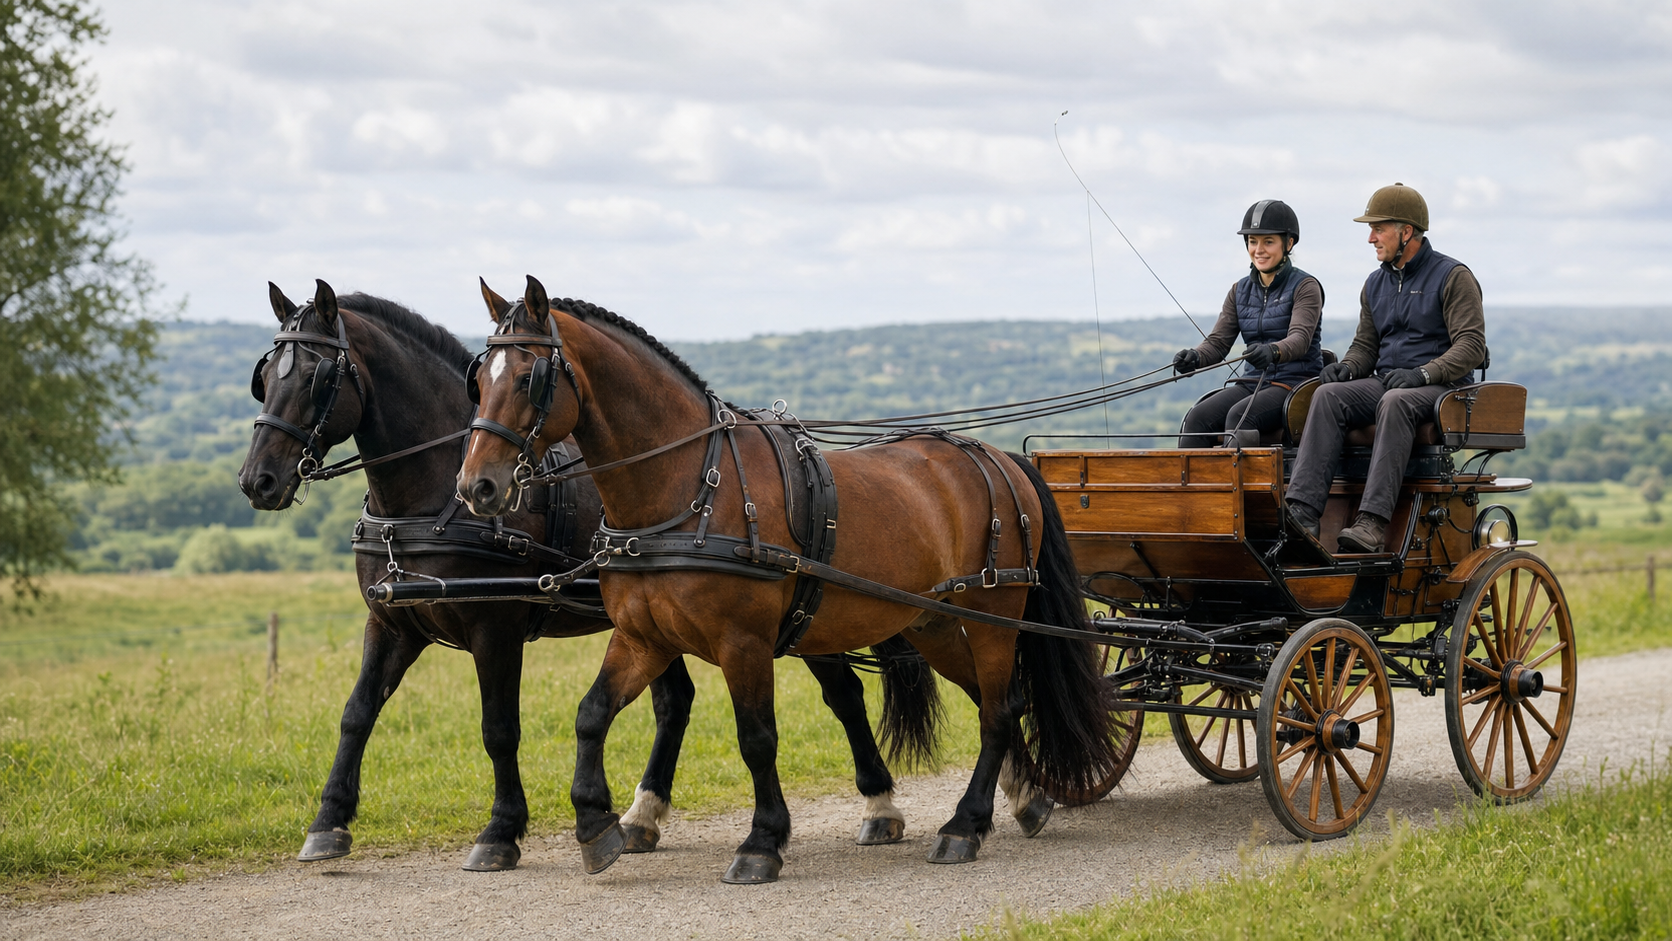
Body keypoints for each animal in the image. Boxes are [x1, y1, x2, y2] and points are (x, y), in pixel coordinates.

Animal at [238, 280, 925, 870]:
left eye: (317, 375)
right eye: (265, 378)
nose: (257, 481)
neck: (429, 497)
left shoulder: (495, 627)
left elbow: (498, 728)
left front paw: (501, 832)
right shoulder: (391, 623)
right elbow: (356, 714)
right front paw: (328, 823)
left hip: (804, 617)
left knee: (844, 695)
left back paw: (880, 805)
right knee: (676, 703)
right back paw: (644, 816)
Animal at [456, 276, 1119, 884]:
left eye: (528, 378)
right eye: (478, 380)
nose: (476, 487)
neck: (688, 487)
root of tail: (1004, 458)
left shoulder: (743, 642)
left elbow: (756, 737)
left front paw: (762, 842)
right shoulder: (644, 637)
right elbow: (592, 714)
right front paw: (597, 826)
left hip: (993, 614)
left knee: (999, 710)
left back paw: (965, 824)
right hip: (935, 623)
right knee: (996, 699)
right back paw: (1025, 801)